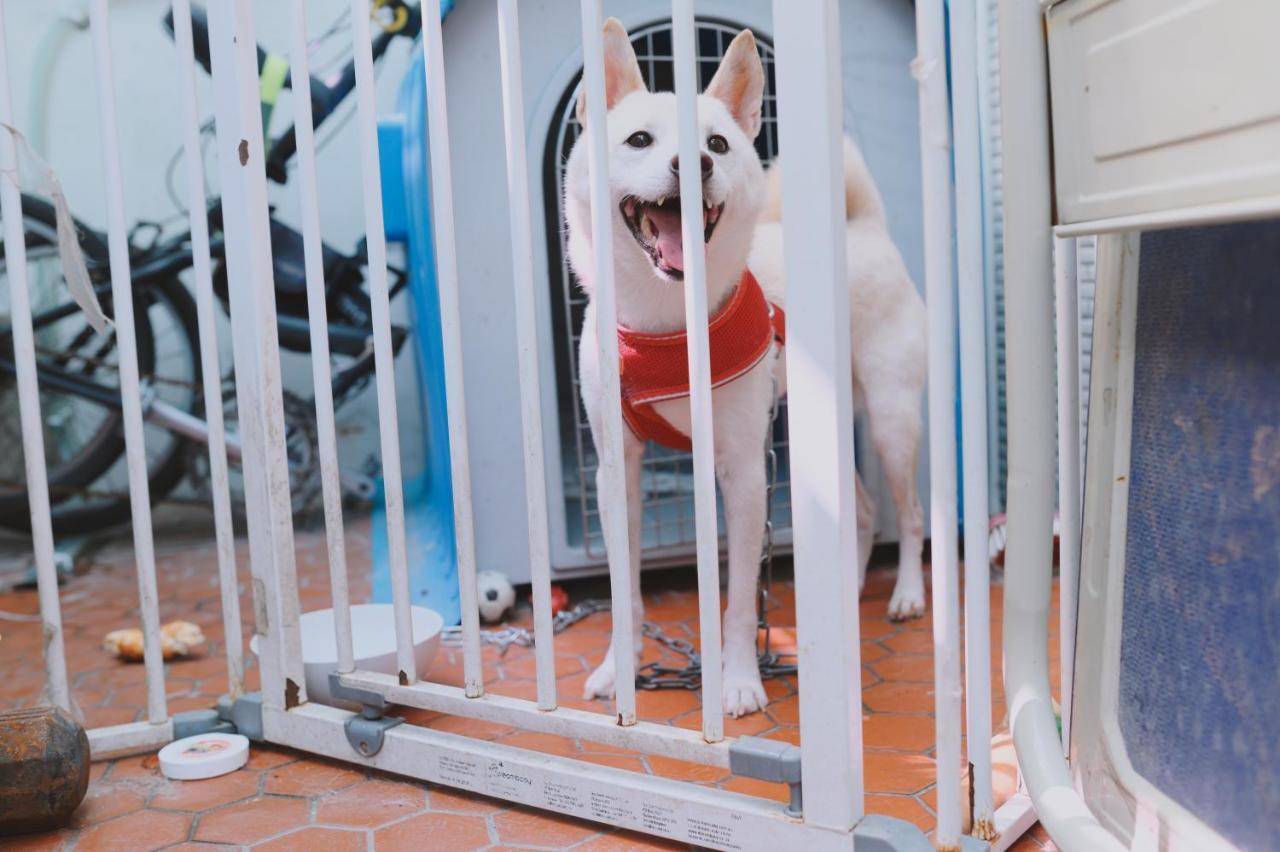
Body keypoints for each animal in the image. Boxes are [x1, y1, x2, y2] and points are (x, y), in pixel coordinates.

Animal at [565, 19, 926, 711]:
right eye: (639, 139)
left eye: (716, 144)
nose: (696, 164)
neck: (667, 323)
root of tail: (864, 228)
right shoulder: (618, 473)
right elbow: (625, 594)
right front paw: (616, 672)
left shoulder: (743, 474)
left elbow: (735, 602)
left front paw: (736, 681)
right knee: (865, 511)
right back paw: (843, 589)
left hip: (893, 423)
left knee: (914, 515)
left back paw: (908, 594)